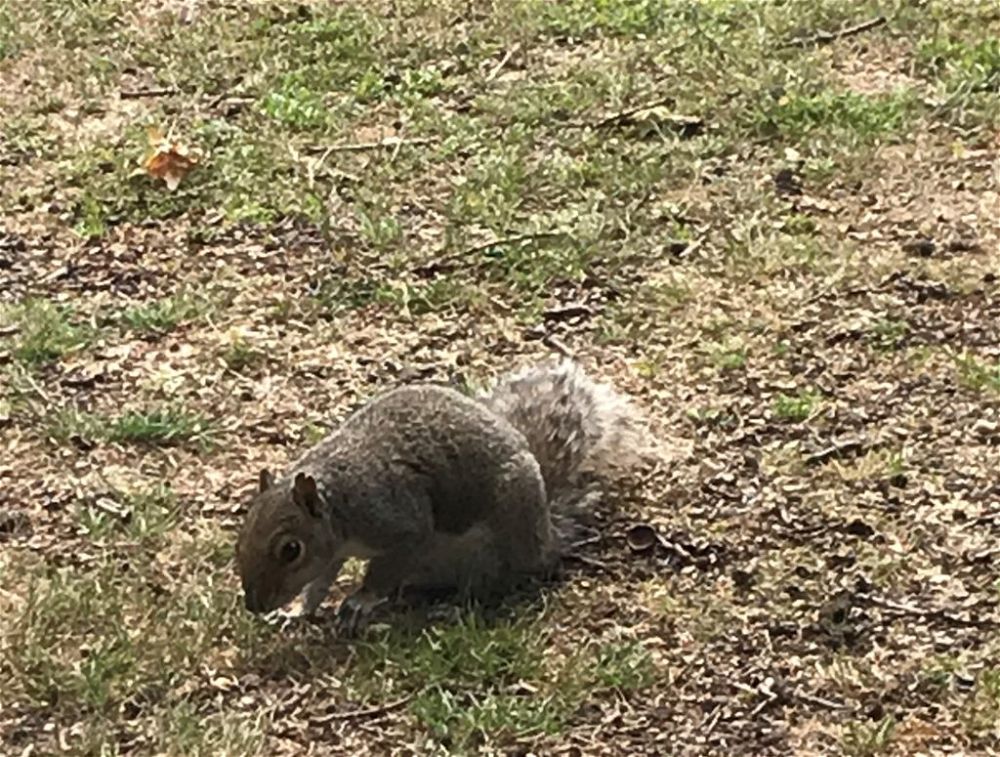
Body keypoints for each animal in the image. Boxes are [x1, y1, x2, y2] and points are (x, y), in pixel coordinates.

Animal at [238, 358, 652, 628]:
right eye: (240, 541)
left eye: (290, 550)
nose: (254, 606)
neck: (341, 501)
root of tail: (547, 532)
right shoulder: (332, 553)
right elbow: (318, 583)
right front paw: (296, 612)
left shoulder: (399, 521)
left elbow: (384, 567)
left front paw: (361, 600)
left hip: (499, 539)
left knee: (496, 583)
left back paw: (454, 608)